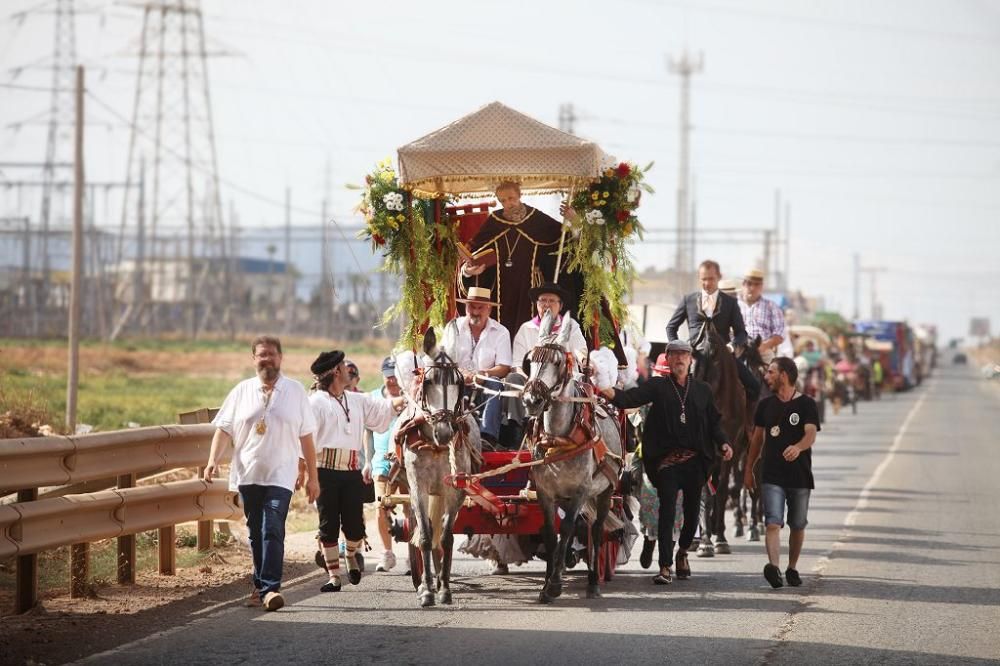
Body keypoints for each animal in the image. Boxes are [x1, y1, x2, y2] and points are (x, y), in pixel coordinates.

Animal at [524, 312, 616, 600]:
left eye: (556, 362)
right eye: (531, 360)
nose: (531, 400)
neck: (558, 439)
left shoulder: (580, 492)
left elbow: (566, 530)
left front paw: (554, 584)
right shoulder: (545, 492)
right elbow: (550, 532)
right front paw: (546, 584)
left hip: (605, 491)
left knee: (595, 530)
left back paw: (593, 582)